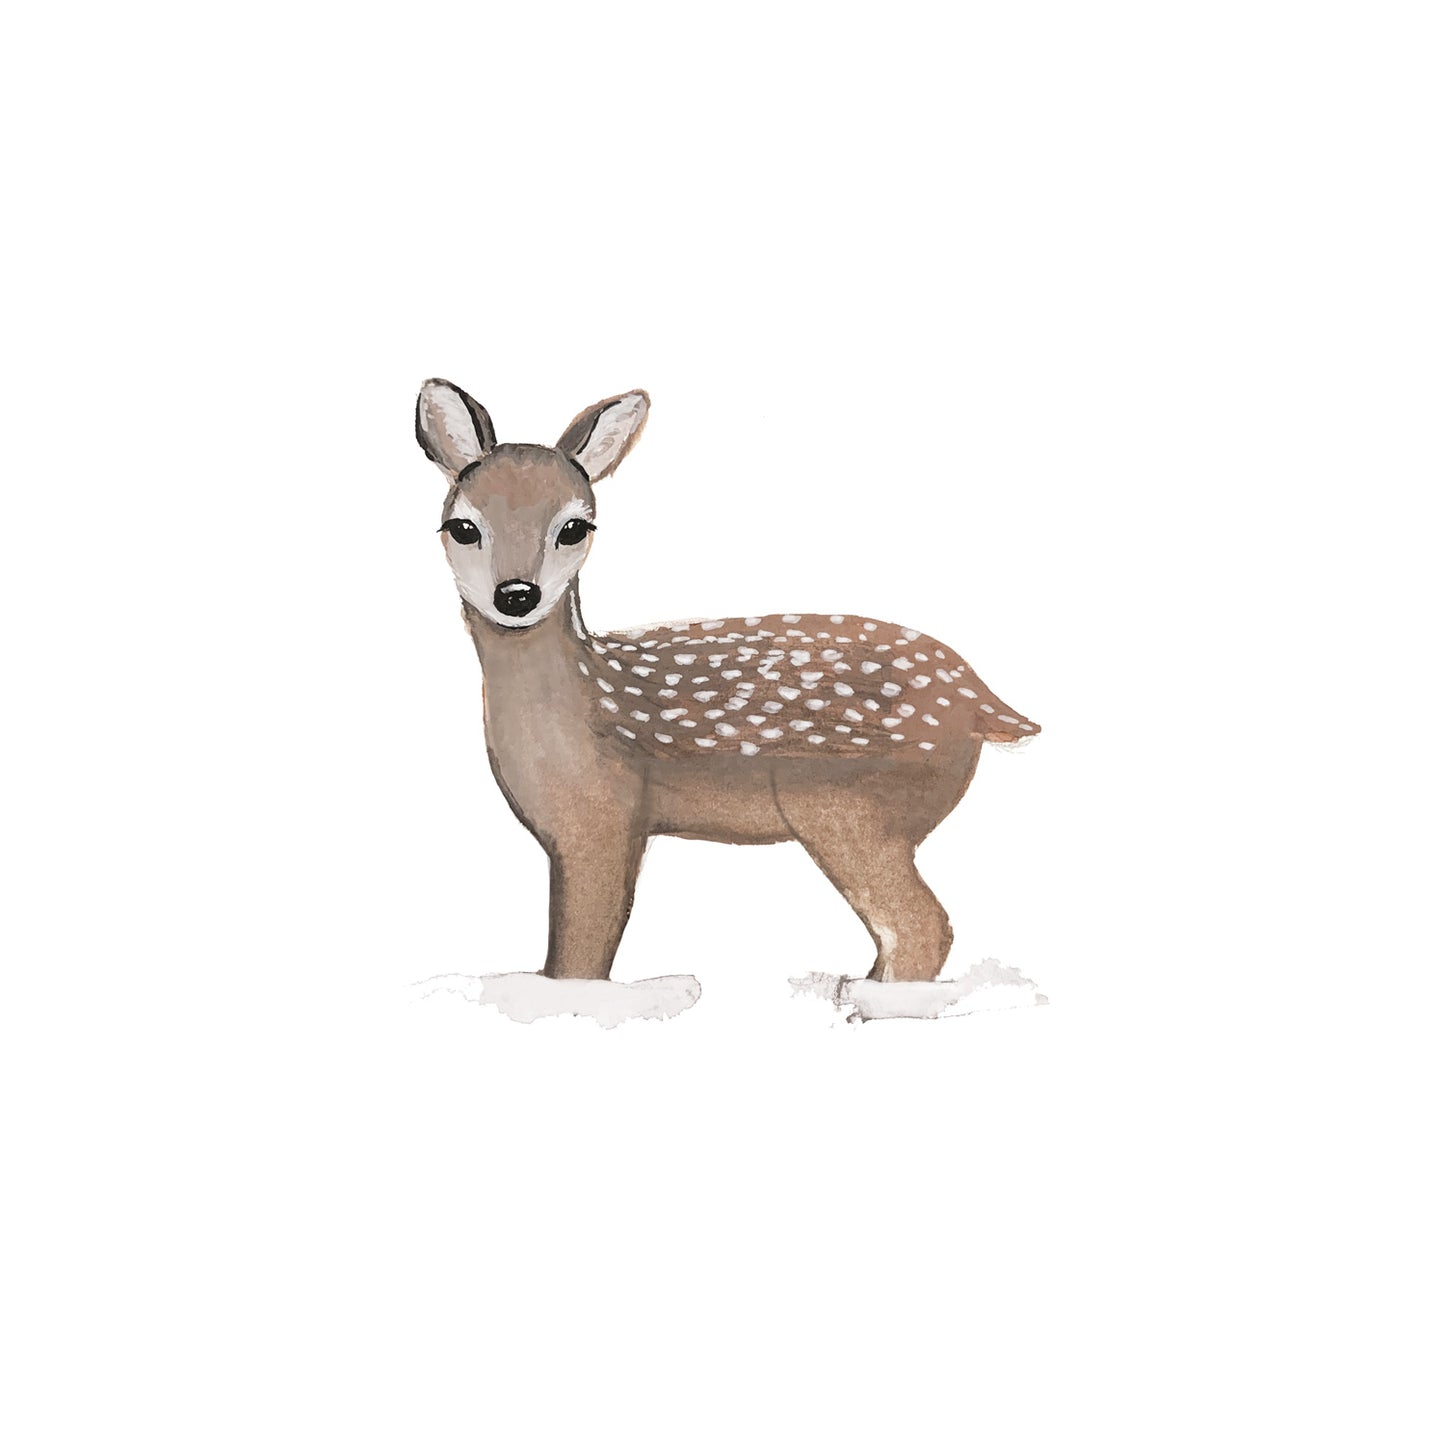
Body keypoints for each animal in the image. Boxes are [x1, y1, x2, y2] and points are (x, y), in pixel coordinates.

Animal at [414, 380, 1040, 986]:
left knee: (920, 927)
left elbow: (578, 961)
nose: (517, 595)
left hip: (850, 807)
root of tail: (983, 702)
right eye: (461, 527)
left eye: (574, 527)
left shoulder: (603, 819)